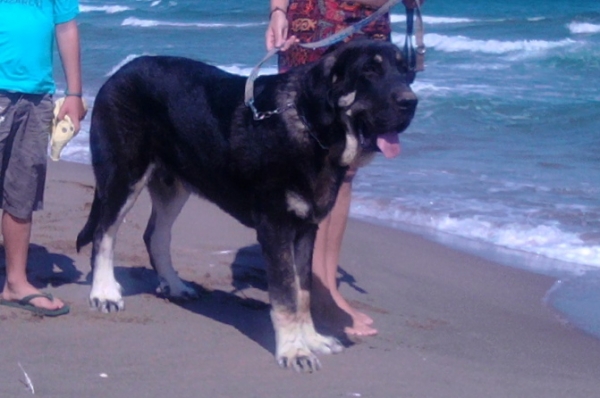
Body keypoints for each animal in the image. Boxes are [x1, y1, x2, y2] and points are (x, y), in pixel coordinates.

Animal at [76, 38, 418, 372]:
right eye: (369, 71)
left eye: (405, 71)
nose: (411, 102)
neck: (312, 129)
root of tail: (119, 73)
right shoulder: (275, 227)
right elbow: (285, 294)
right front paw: (294, 351)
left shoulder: (306, 229)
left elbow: (303, 291)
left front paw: (312, 339)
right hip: (124, 177)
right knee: (104, 233)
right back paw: (104, 292)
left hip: (174, 186)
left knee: (155, 236)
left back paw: (174, 286)